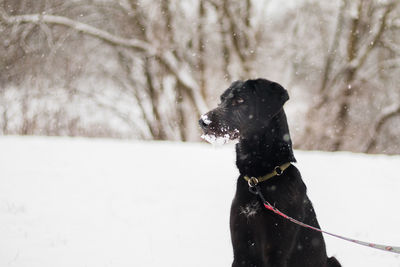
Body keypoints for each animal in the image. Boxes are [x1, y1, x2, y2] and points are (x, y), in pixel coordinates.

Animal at [200, 79, 340, 267]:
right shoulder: (241, 248)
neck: (260, 178)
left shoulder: (278, 248)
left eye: (240, 100)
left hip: (333, 260)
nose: (203, 121)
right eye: (221, 100)